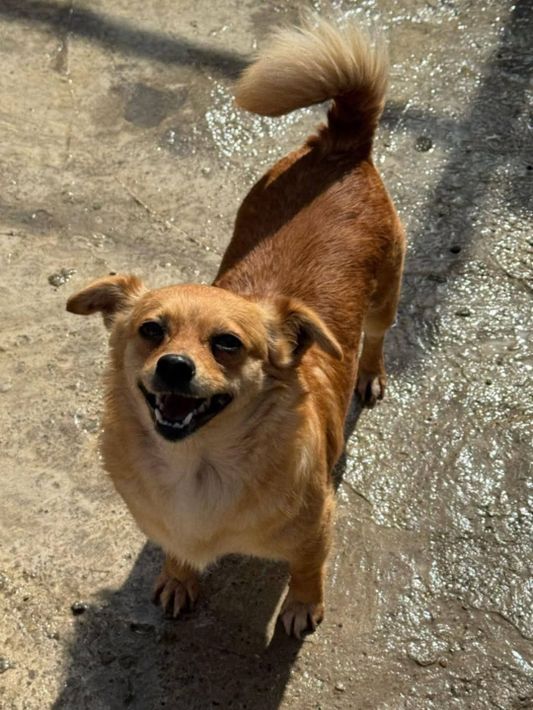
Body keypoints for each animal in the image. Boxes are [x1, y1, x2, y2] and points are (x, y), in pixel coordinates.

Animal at [67, 16, 405, 639]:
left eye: (227, 344)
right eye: (151, 331)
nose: (175, 366)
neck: (198, 465)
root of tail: (340, 142)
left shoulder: (317, 526)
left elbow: (307, 567)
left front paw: (301, 606)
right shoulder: (166, 524)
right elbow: (176, 549)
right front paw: (179, 577)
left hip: (384, 298)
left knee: (376, 335)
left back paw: (370, 374)